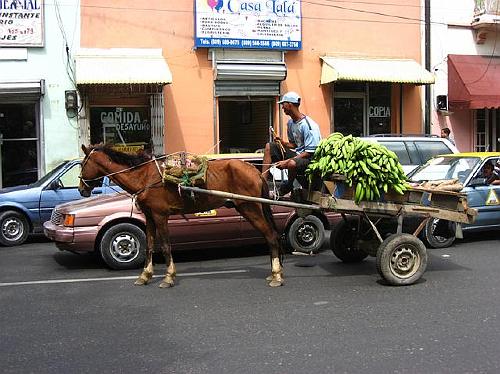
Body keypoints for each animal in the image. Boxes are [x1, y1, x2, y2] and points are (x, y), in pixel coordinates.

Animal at [76, 145, 284, 288]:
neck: (144, 177)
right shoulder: (149, 217)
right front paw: (145, 275)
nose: (81, 189)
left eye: (83, 164)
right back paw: (274, 272)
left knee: (271, 236)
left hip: (250, 208)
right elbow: (149, 246)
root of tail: (255, 171)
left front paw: (168, 277)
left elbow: (166, 246)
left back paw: (276, 275)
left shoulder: (160, 216)